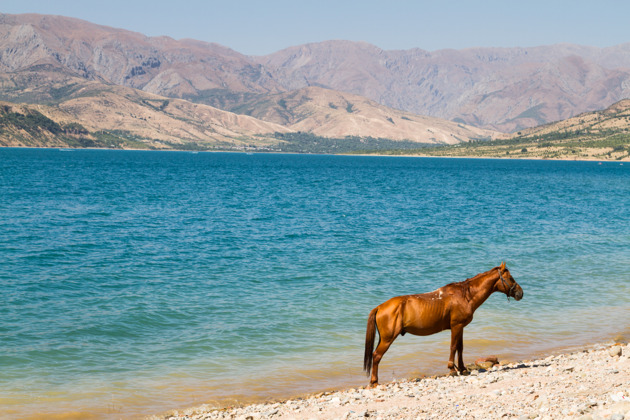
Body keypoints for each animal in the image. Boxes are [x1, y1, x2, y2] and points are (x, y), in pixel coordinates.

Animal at [362, 262, 524, 388]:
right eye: (510, 278)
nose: (520, 293)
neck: (465, 296)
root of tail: (380, 307)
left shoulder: (460, 327)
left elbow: (460, 348)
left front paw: (463, 369)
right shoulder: (456, 326)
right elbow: (453, 347)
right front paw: (452, 370)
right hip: (387, 339)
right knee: (376, 356)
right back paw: (374, 382)